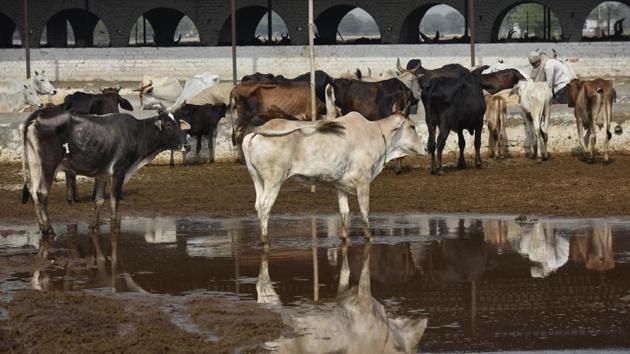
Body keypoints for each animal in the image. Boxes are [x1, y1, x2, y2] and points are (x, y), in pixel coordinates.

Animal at [21, 108, 191, 235]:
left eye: (179, 123)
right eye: (168, 124)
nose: (187, 145)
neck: (136, 134)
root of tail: (40, 112)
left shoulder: (101, 174)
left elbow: (99, 200)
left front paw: (94, 226)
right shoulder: (118, 171)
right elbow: (114, 202)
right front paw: (114, 228)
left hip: (34, 163)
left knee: (33, 191)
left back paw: (41, 226)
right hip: (49, 165)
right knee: (41, 193)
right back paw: (48, 229)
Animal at [244, 110, 428, 243]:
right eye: (412, 126)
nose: (425, 148)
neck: (376, 134)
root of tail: (258, 131)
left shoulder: (340, 184)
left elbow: (344, 211)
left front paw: (344, 237)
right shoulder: (363, 180)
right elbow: (364, 210)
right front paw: (369, 237)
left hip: (257, 179)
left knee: (258, 206)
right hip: (274, 180)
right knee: (265, 207)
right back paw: (265, 240)